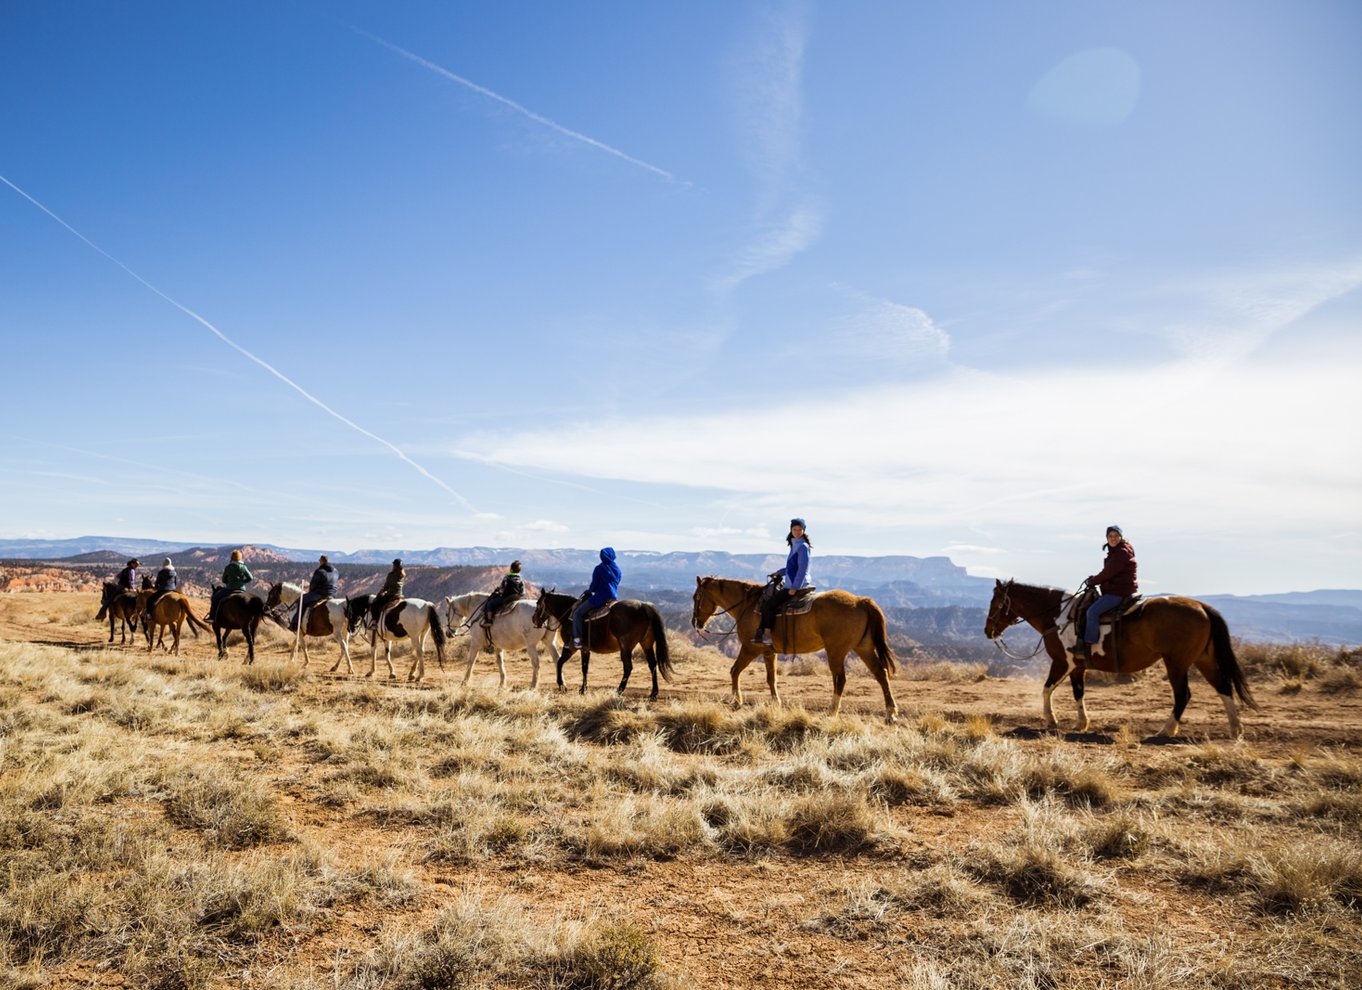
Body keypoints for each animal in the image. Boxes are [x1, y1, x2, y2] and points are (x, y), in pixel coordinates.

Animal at [533, 593, 678, 702]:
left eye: (538, 604)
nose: (534, 620)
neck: (569, 614)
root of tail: (644, 606)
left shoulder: (571, 647)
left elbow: (559, 662)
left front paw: (562, 685)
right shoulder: (585, 649)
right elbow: (584, 668)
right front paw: (583, 689)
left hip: (626, 646)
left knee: (628, 667)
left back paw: (619, 690)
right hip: (646, 643)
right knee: (652, 665)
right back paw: (653, 693)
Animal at [691, 577, 904, 724]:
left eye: (696, 597)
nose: (695, 623)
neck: (747, 605)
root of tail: (861, 601)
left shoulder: (750, 648)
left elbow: (734, 670)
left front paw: (737, 701)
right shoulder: (769, 651)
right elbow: (771, 679)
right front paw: (776, 704)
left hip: (836, 651)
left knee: (841, 679)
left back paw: (832, 711)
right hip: (863, 648)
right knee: (881, 674)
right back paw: (890, 713)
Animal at [986, 580, 1258, 735]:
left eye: (996, 602)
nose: (988, 631)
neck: (1058, 616)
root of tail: (1202, 607)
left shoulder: (1063, 662)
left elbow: (1046, 689)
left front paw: (1051, 720)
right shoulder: (1077, 667)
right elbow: (1078, 693)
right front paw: (1081, 723)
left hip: (1177, 663)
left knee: (1183, 695)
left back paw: (1166, 730)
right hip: (1204, 660)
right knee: (1224, 688)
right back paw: (1236, 729)